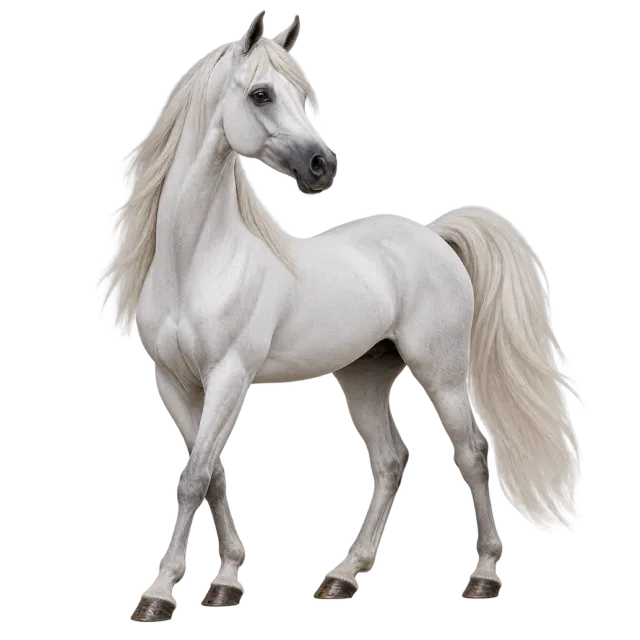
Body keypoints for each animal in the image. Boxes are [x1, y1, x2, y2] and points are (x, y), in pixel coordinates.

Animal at [100, 12, 583, 622]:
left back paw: (483, 577)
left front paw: (160, 593)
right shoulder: (173, 382)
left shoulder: (229, 377)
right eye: (261, 93)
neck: (198, 262)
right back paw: (343, 577)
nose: (322, 166)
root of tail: (433, 236)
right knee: (390, 464)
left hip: (442, 373)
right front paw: (226, 582)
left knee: (473, 453)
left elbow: (196, 478)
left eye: (303, 95)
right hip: (365, 377)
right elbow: (211, 480)